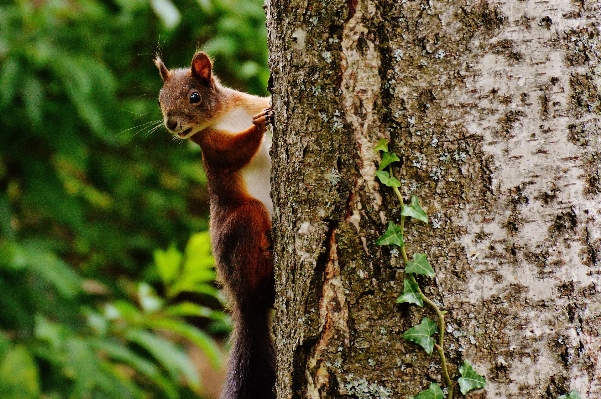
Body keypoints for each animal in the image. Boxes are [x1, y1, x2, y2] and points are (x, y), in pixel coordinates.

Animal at [155, 52, 276, 399]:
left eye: (194, 96)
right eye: (160, 100)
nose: (171, 124)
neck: (226, 115)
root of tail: (245, 306)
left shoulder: (246, 100)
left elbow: (262, 101)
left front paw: (268, 107)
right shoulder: (212, 148)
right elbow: (235, 152)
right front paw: (259, 124)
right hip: (245, 218)